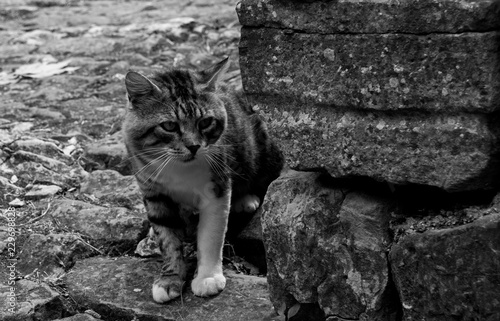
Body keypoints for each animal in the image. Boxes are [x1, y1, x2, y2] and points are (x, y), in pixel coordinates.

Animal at [122, 58, 284, 302]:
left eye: (206, 122)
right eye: (169, 125)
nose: (194, 146)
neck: (179, 168)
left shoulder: (217, 185)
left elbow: (210, 234)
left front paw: (207, 278)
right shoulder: (152, 191)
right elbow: (167, 237)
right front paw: (169, 279)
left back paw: (246, 200)